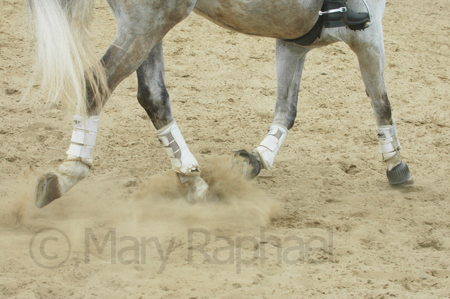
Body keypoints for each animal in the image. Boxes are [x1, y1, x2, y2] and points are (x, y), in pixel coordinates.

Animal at [28, 0, 414, 209]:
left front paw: (255, 159)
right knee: (97, 85)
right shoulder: (369, 36)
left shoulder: (293, 41)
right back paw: (68, 173)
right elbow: (382, 103)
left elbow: (287, 109)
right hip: (147, 22)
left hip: (149, 25)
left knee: (152, 96)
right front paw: (397, 165)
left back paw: (193, 181)